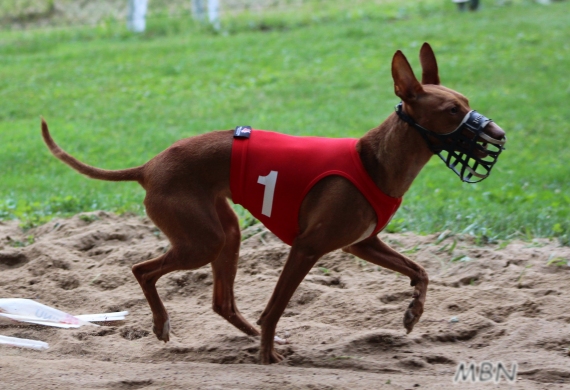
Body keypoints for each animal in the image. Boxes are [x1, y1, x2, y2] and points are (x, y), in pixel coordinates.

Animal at [42, 44, 504, 364]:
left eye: (466, 102)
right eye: (452, 110)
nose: (499, 134)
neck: (373, 160)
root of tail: (149, 165)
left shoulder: (363, 244)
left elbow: (420, 271)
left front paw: (413, 313)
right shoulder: (307, 247)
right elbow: (277, 306)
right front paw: (267, 358)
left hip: (225, 234)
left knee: (222, 302)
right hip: (202, 242)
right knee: (142, 269)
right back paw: (165, 325)